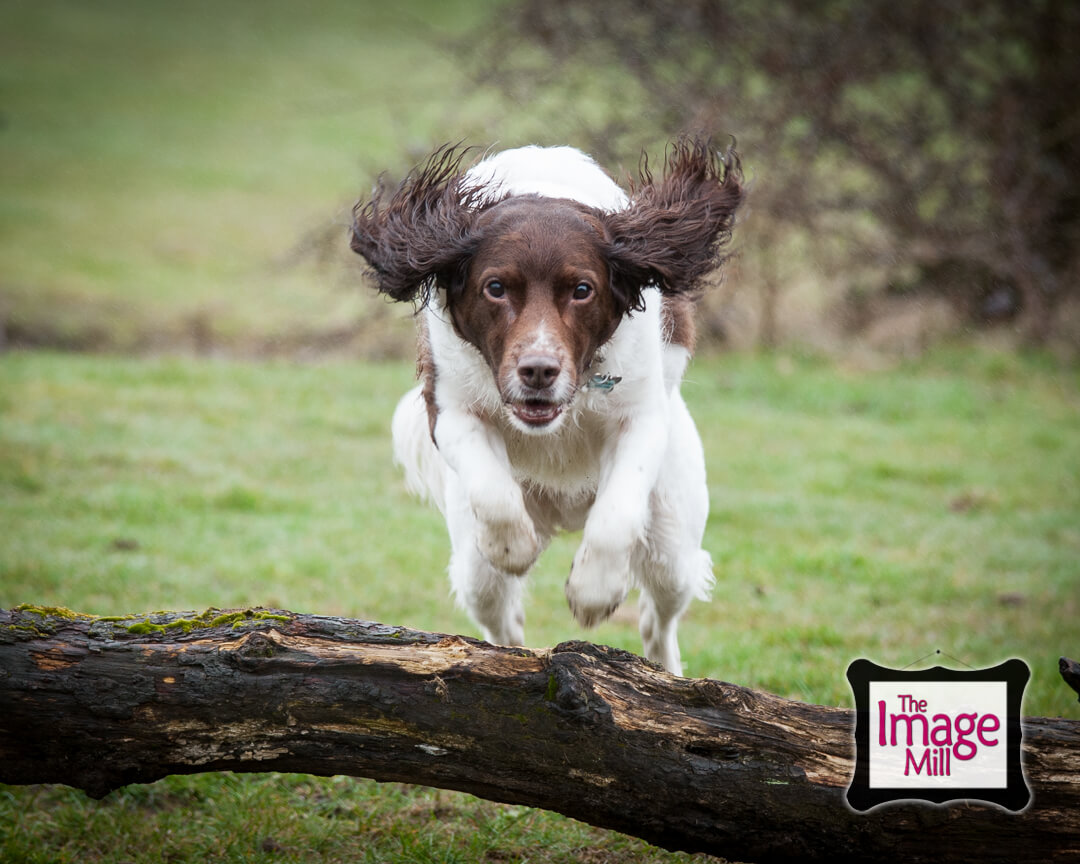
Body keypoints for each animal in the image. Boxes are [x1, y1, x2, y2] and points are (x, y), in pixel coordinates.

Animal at [349, 138, 747, 673]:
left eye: (582, 290)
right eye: (495, 288)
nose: (538, 370)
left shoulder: (641, 418)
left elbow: (617, 514)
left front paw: (594, 591)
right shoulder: (449, 406)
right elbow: (493, 493)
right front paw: (513, 546)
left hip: (670, 538)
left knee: (658, 617)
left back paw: (665, 674)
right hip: (476, 568)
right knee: (499, 618)